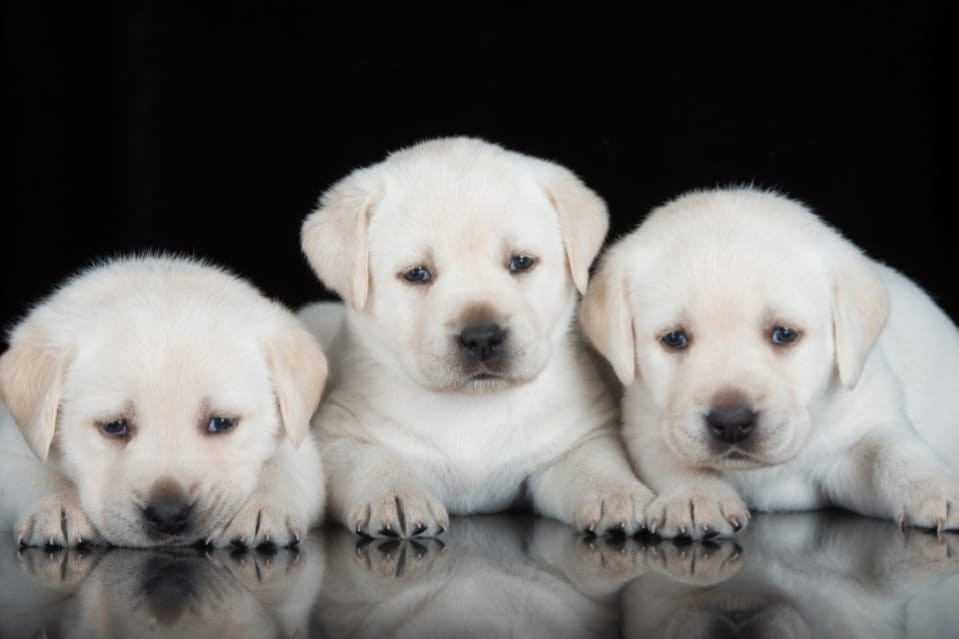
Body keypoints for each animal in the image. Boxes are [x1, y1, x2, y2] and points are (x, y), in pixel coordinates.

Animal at [0, 258, 328, 548]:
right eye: (114, 426)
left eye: (221, 422)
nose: (169, 514)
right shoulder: (12, 443)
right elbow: (36, 470)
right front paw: (57, 506)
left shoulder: (300, 447)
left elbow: (281, 470)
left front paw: (260, 508)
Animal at [300, 136, 656, 540]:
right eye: (417, 273)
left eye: (521, 262)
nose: (482, 337)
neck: (472, 407)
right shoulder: (337, 436)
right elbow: (369, 459)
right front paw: (394, 494)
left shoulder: (575, 439)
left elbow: (595, 462)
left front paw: (618, 494)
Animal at [580, 189, 959, 540]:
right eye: (674, 338)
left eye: (784, 334)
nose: (731, 422)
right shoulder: (644, 427)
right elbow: (675, 458)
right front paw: (695, 497)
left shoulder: (864, 424)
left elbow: (893, 452)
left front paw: (936, 488)